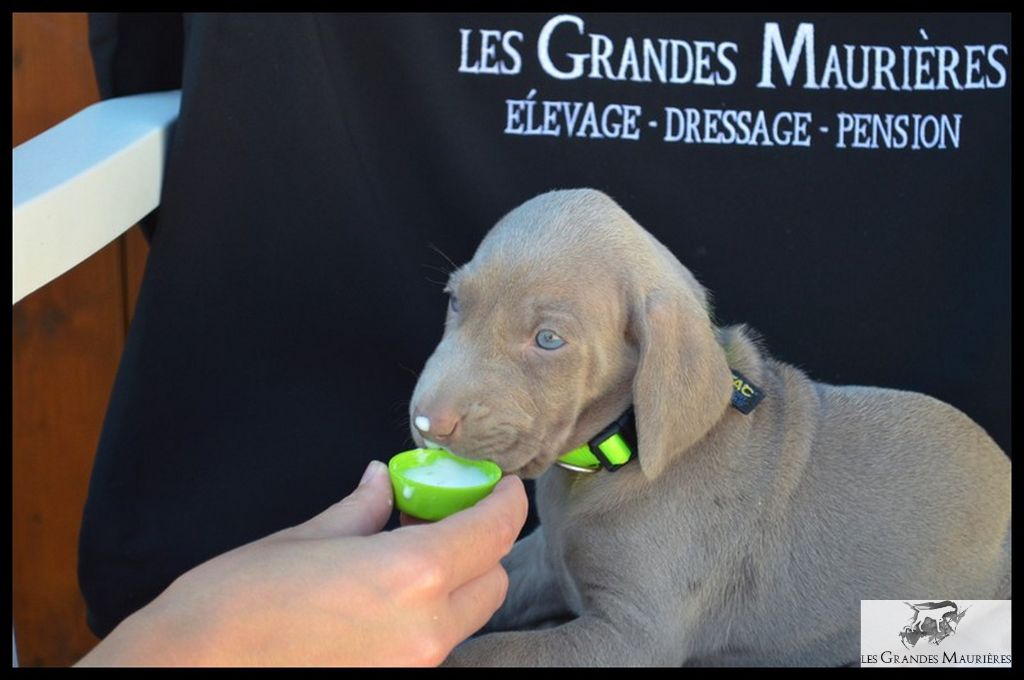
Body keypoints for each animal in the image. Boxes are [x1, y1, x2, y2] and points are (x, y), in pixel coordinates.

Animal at [408, 188, 1011, 666]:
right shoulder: (545, 558)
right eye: (455, 302)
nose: (427, 421)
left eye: (549, 340)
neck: (618, 449)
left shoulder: (630, 637)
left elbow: (488, 652)